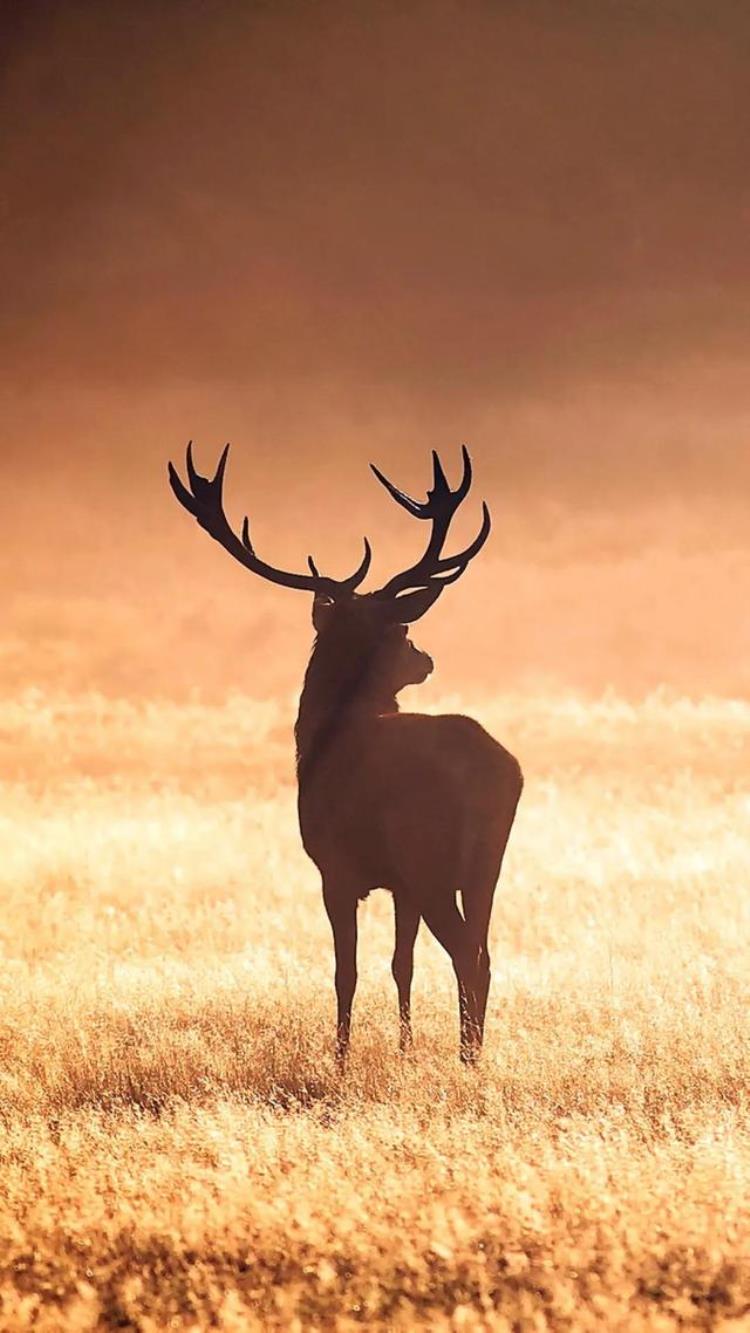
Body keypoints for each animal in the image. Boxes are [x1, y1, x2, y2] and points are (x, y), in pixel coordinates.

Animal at [169, 442, 522, 1066]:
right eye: (403, 632)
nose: (425, 659)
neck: (321, 740)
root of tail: (498, 770)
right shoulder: (400, 884)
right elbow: (401, 964)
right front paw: (404, 1049)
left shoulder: (335, 868)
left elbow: (345, 971)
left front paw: (340, 1058)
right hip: (487, 862)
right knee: (483, 951)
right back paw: (473, 1052)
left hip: (429, 856)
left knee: (465, 953)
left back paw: (467, 1058)